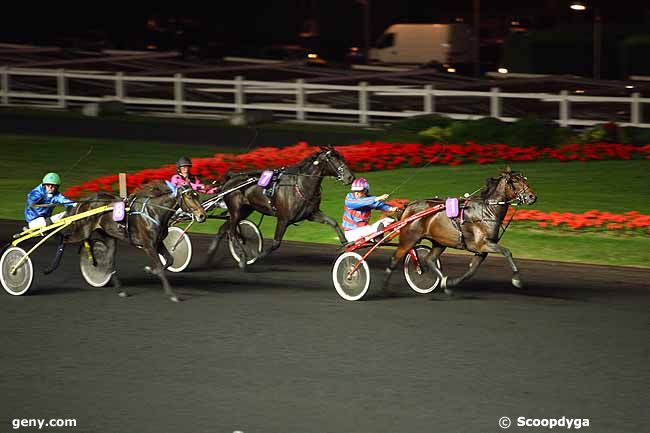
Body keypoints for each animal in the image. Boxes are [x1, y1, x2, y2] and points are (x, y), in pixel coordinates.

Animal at [57, 179, 205, 300]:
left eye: (197, 195)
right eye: (189, 196)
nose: (202, 215)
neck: (154, 211)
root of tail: (85, 201)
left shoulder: (158, 243)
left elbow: (169, 260)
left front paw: (149, 270)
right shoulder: (148, 245)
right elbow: (160, 267)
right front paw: (172, 294)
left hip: (109, 237)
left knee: (109, 261)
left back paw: (120, 290)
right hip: (82, 231)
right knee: (66, 238)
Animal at [209, 145, 354, 266]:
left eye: (342, 157)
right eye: (333, 158)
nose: (350, 177)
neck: (301, 185)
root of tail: (232, 177)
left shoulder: (311, 214)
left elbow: (333, 222)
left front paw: (346, 243)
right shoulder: (283, 219)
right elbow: (275, 243)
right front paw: (256, 255)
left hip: (244, 210)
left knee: (224, 229)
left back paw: (210, 254)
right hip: (236, 210)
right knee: (231, 232)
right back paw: (242, 258)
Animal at [380, 167, 536, 296]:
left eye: (525, 179)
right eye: (515, 181)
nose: (532, 197)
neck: (487, 210)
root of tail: (408, 206)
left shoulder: (481, 250)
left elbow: (471, 271)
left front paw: (450, 283)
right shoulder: (484, 244)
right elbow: (507, 252)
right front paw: (517, 280)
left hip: (439, 242)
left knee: (430, 260)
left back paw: (444, 283)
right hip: (409, 238)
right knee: (395, 259)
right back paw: (384, 288)